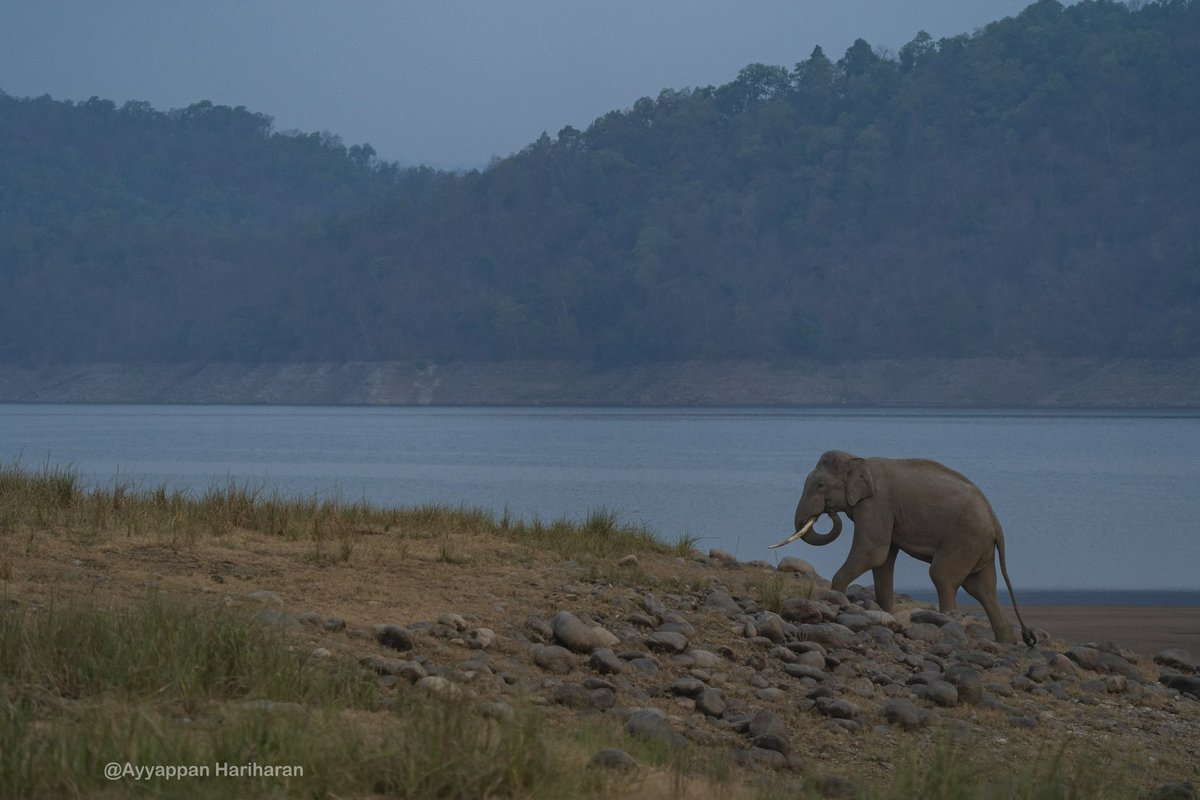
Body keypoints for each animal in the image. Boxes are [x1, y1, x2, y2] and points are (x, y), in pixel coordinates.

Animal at [772, 448, 1036, 647]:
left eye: (820, 485)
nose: (829, 513)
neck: (860, 460)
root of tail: (996, 523)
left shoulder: (877, 504)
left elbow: (873, 552)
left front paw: (836, 597)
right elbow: (883, 560)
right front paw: (884, 612)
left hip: (964, 537)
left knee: (943, 576)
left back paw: (950, 623)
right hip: (978, 546)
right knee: (982, 588)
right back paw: (1007, 642)